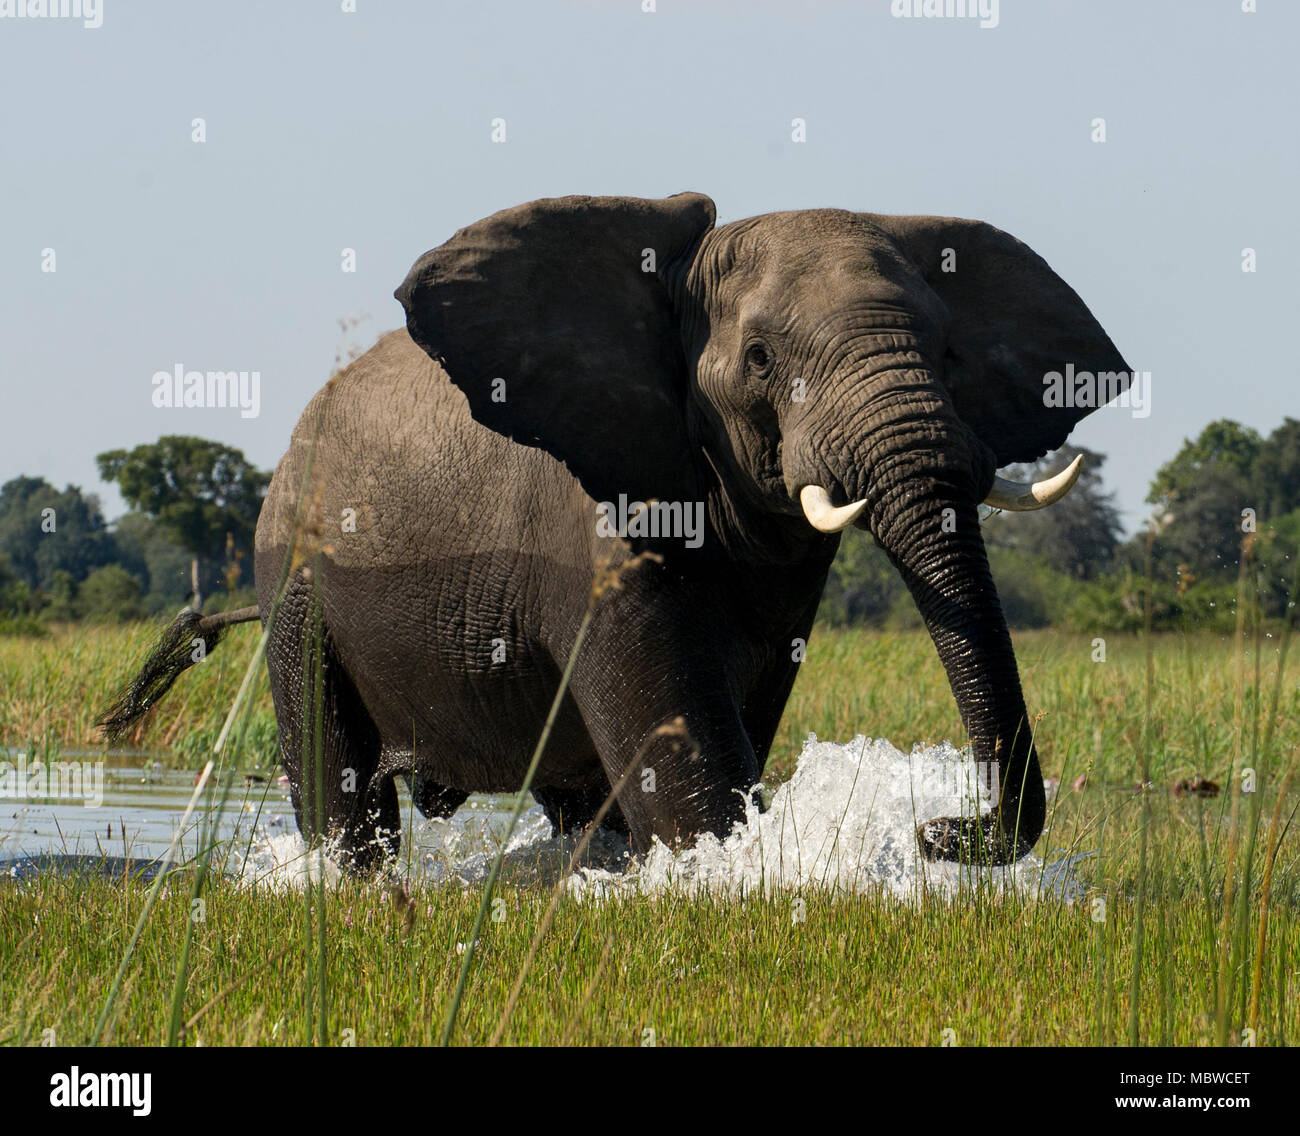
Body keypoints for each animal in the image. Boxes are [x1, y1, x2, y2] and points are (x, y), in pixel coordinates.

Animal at [104, 192, 1128, 868]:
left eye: (950, 353)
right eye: (761, 359)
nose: (940, 828)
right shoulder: (594, 514)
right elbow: (689, 763)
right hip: (293, 576)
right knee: (344, 787)